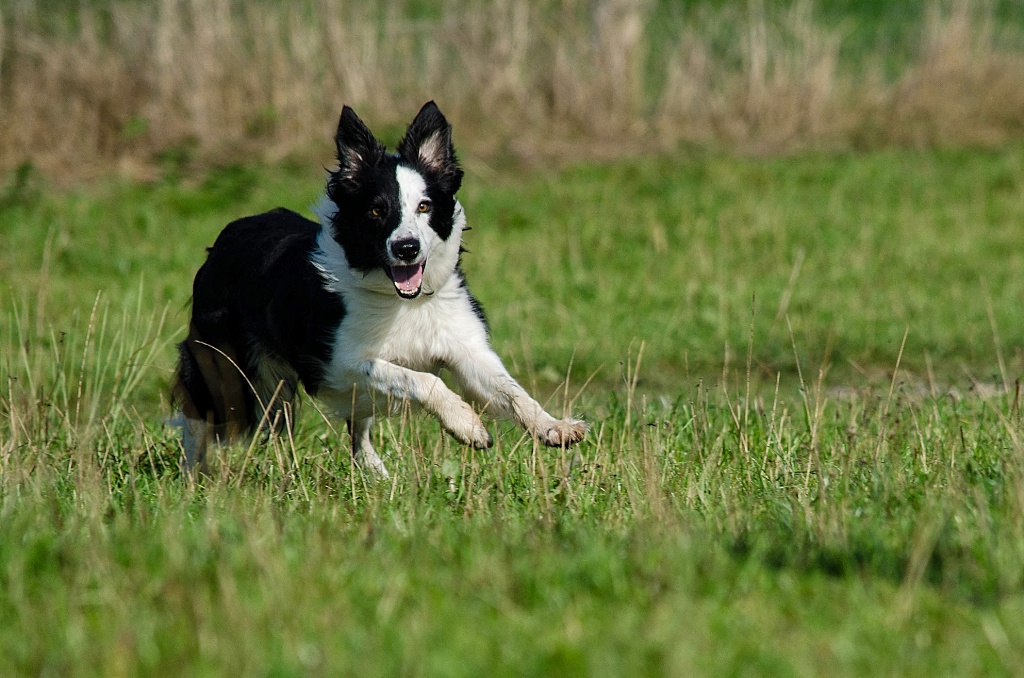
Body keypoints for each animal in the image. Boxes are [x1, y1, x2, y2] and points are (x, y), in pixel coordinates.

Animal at [173, 100, 589, 477]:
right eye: (376, 211)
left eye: (424, 206)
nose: (406, 248)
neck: (403, 301)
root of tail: (225, 238)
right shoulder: (339, 363)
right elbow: (423, 379)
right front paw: (467, 425)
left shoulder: (465, 348)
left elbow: (512, 391)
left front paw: (555, 427)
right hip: (224, 366)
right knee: (196, 415)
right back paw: (194, 478)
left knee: (359, 433)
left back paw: (376, 474)